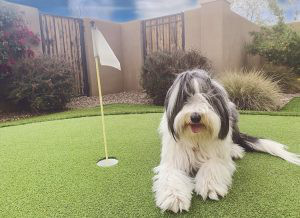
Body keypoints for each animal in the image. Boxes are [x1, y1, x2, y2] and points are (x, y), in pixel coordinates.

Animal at [154, 69, 298, 213]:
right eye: (185, 98)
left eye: (208, 98)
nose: (195, 116)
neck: (197, 138)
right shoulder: (174, 158)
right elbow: (171, 174)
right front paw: (174, 197)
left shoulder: (219, 153)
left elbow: (213, 164)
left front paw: (210, 186)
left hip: (231, 114)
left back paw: (234, 150)